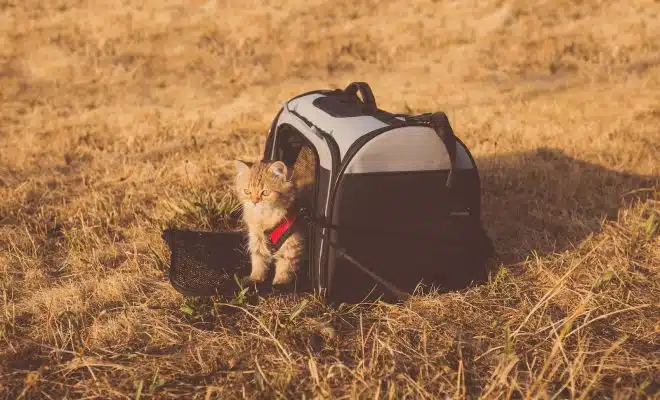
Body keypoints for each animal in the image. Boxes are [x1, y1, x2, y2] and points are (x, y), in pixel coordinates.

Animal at [233, 145, 316, 286]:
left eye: (265, 193)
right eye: (247, 192)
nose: (254, 201)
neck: (265, 218)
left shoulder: (292, 243)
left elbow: (285, 266)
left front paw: (279, 284)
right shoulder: (257, 238)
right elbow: (258, 260)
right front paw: (255, 278)